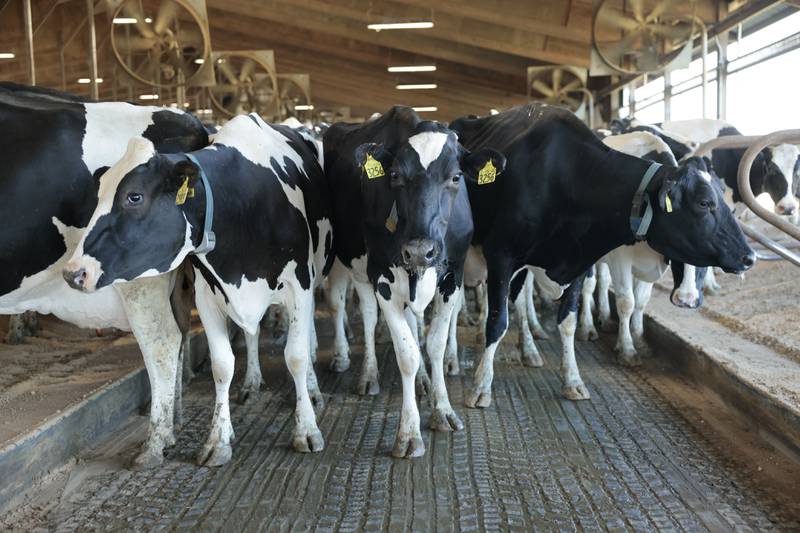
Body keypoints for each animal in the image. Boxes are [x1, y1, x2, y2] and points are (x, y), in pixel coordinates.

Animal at [0, 84, 212, 468]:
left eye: (133, 196)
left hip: (141, 278)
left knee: (162, 341)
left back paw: (154, 445)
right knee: (178, 335)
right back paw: (172, 427)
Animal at [63, 113, 333, 466]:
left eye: (134, 196)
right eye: (100, 195)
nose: (73, 272)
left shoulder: (298, 285)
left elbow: (297, 356)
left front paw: (307, 430)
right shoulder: (209, 296)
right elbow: (222, 365)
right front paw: (218, 439)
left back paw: (312, 389)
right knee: (251, 333)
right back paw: (251, 383)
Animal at [323, 106, 504, 458]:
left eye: (456, 177)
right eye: (394, 175)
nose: (421, 250)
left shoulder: (453, 275)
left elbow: (433, 343)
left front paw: (443, 410)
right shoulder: (382, 278)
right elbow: (406, 353)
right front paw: (409, 433)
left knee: (413, 322)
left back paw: (423, 380)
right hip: (352, 264)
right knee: (366, 316)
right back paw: (368, 375)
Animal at [450, 104, 755, 408]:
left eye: (723, 199)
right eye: (704, 203)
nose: (749, 256)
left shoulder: (577, 261)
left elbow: (568, 321)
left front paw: (573, 380)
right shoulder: (501, 254)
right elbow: (497, 321)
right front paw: (481, 386)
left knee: (520, 302)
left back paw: (528, 350)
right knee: (463, 304)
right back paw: (453, 358)